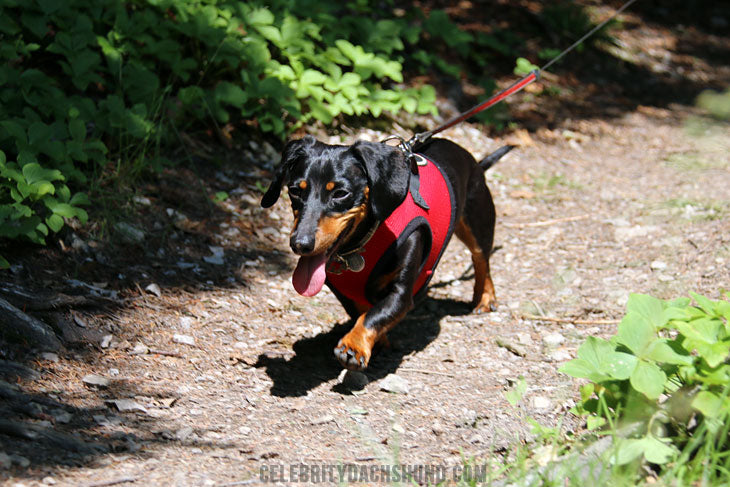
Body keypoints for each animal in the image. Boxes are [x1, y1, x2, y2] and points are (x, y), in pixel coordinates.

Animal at [262, 135, 512, 372]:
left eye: (340, 193)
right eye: (294, 190)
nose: (299, 244)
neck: (363, 241)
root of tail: (471, 158)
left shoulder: (401, 294)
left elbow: (373, 316)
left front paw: (354, 346)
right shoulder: (345, 294)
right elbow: (363, 312)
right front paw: (378, 343)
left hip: (477, 222)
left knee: (481, 259)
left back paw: (486, 298)